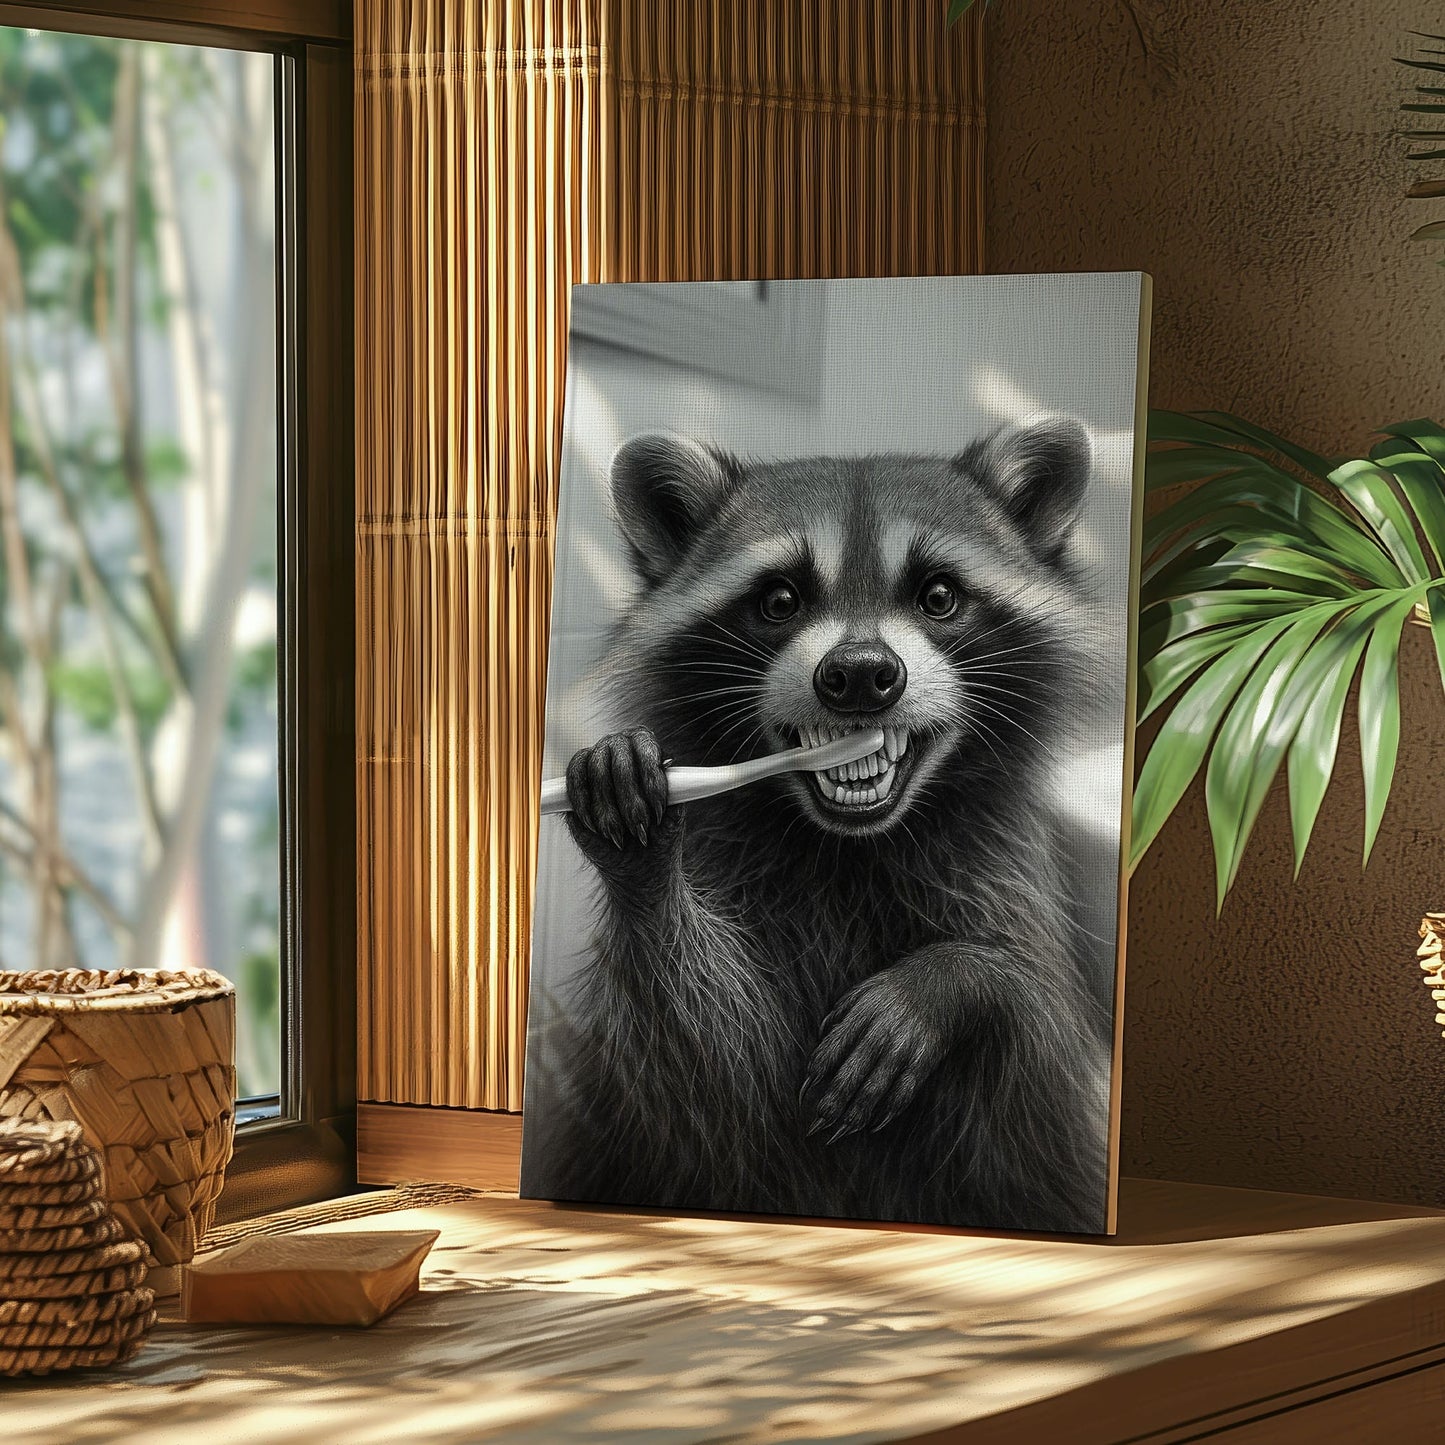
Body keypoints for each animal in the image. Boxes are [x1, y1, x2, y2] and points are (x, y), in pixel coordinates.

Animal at [527, 420, 1114, 1234]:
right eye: (780, 598)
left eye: (938, 596)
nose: (861, 673)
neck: (848, 846)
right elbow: (706, 1073)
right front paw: (640, 862)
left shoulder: (1001, 877)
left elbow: (1039, 1081)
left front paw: (960, 979)